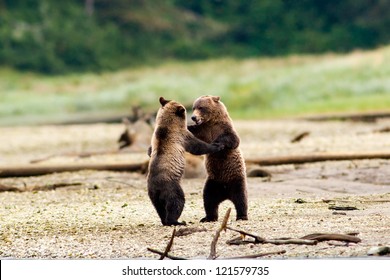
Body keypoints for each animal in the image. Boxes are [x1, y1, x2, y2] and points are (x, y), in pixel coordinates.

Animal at [147, 96, 225, 225]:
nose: (192, 116)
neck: (167, 125)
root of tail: (157, 187)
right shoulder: (182, 137)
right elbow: (198, 147)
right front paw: (217, 145)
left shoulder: (155, 138)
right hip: (171, 187)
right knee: (176, 202)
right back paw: (176, 221)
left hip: (153, 195)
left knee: (159, 208)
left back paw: (164, 220)